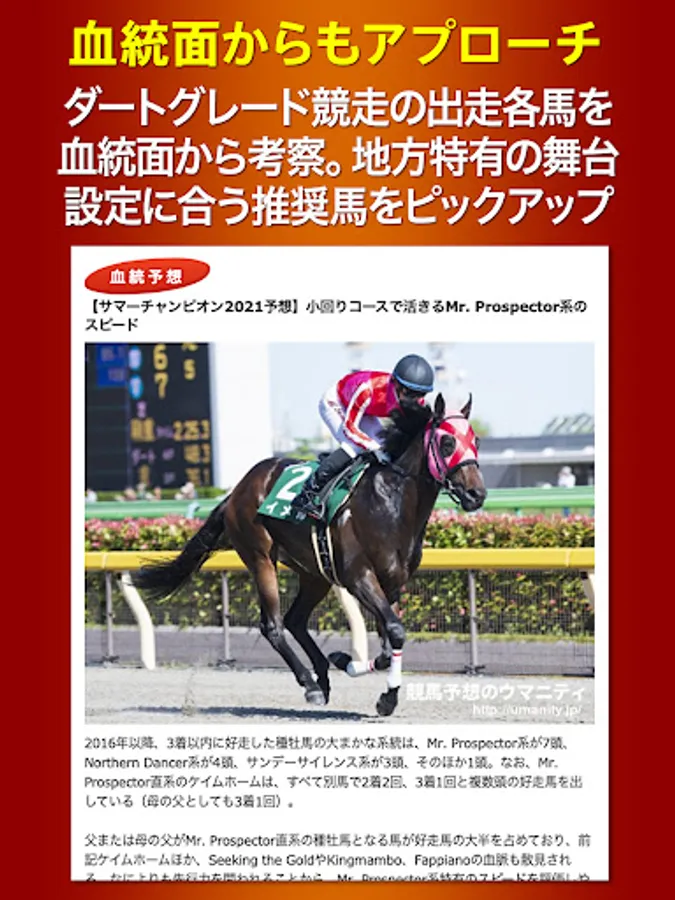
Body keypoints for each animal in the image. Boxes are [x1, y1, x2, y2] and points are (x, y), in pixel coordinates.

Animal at [133, 393, 486, 717]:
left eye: (476, 440)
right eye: (446, 442)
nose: (477, 494)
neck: (391, 502)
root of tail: (237, 490)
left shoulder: (393, 584)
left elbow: (392, 639)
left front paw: (362, 675)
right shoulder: (359, 577)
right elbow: (396, 631)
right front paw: (374, 687)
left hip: (314, 572)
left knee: (295, 619)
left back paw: (323, 675)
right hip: (260, 556)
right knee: (273, 625)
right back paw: (310, 684)